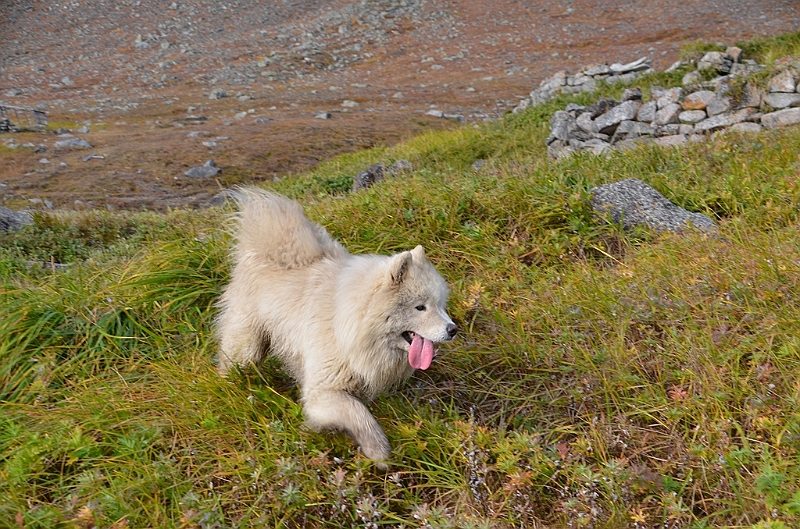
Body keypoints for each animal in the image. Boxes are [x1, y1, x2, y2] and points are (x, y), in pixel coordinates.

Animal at [216, 189, 460, 462]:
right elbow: (358, 413)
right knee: (234, 363)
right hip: (247, 345)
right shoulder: (323, 392)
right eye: (420, 307)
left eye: (440, 305)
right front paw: (377, 449)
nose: (453, 329)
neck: (350, 324)